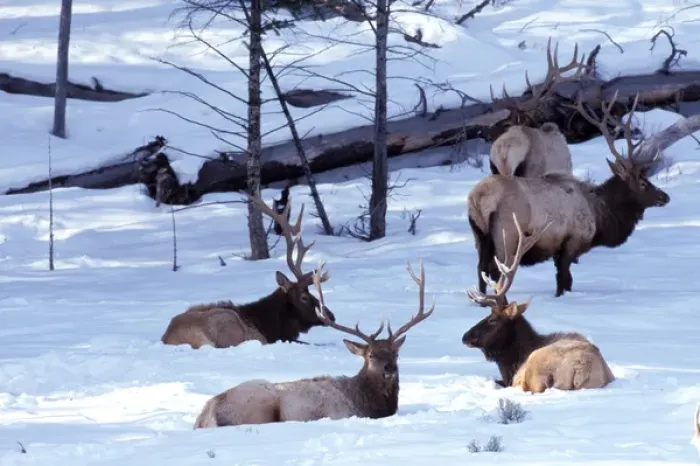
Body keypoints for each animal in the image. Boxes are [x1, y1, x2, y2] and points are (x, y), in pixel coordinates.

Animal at [193, 260, 436, 428]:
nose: (390, 368)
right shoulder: (338, 413)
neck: (368, 404)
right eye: (371, 355)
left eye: (396, 353)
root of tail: (205, 415)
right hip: (258, 407)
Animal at [467, 90, 670, 297]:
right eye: (643, 183)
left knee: (481, 270)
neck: (600, 215)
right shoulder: (571, 243)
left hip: (480, 237)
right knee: (498, 273)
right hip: (507, 238)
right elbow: (564, 281)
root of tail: (479, 199)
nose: (665, 197)